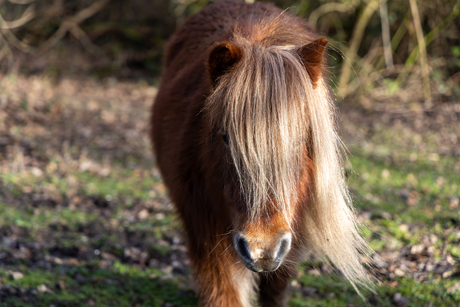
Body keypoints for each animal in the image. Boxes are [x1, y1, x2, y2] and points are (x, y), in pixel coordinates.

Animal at [150, 1, 370, 306]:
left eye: (300, 139)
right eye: (225, 137)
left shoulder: (289, 246)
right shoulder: (207, 239)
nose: (262, 249)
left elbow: (274, 291)